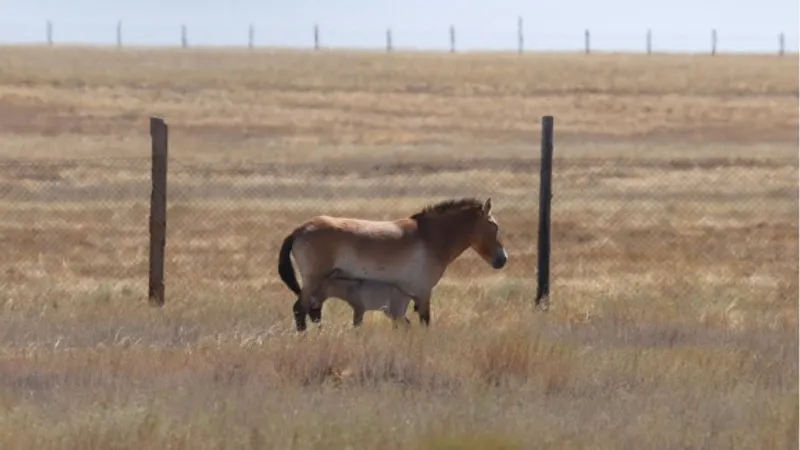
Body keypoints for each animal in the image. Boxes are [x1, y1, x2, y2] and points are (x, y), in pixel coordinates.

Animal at [277, 197, 508, 332]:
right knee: (300, 309)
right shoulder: (424, 292)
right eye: (494, 226)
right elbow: (425, 322)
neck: (430, 237)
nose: (502, 259)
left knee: (313, 310)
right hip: (313, 280)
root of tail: (299, 230)